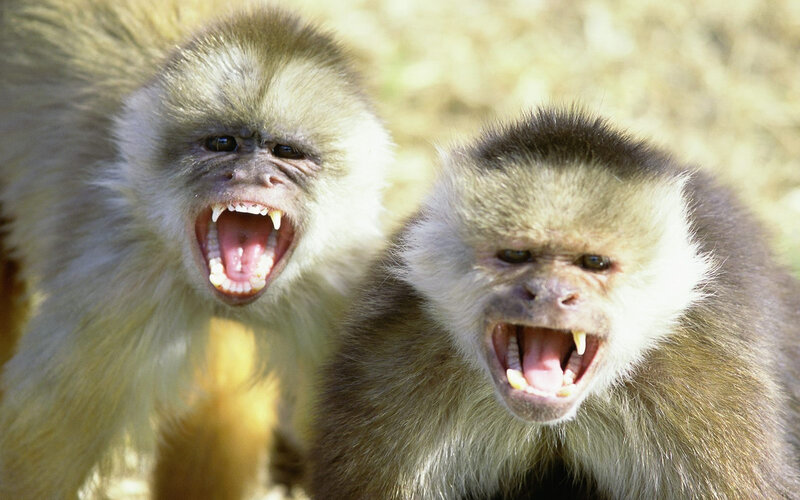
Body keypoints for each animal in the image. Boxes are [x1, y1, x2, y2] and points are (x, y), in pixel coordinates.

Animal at [0, 0, 392, 497]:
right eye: (222, 144)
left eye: (286, 152)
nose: (250, 176)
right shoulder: (118, 291)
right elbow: (28, 468)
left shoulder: (342, 293)